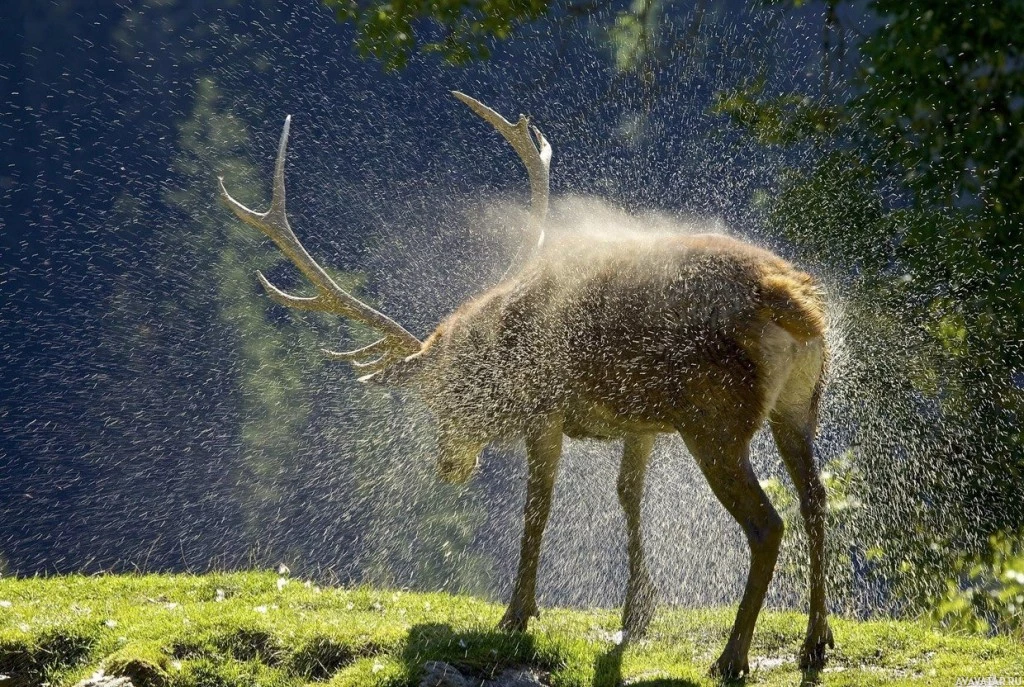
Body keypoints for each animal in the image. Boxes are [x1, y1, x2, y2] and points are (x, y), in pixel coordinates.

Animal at [216, 90, 831, 675]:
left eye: (444, 393)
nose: (448, 465)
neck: (506, 343)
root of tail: (794, 303)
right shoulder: (642, 420)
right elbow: (628, 495)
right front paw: (636, 611)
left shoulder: (547, 409)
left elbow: (538, 506)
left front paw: (517, 612)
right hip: (798, 405)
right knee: (814, 498)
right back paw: (815, 642)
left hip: (716, 419)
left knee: (767, 524)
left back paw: (732, 656)